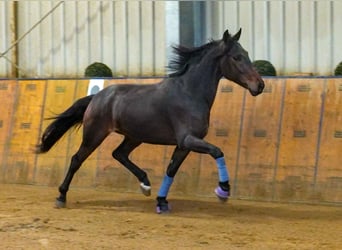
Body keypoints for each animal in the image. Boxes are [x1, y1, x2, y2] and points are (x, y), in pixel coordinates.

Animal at [36, 28, 264, 213]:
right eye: (237, 57)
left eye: (247, 55)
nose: (260, 85)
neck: (189, 93)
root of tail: (97, 97)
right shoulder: (188, 139)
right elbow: (217, 151)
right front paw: (223, 191)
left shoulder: (184, 145)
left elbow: (171, 170)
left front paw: (161, 202)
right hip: (95, 134)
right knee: (77, 159)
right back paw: (61, 197)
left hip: (134, 136)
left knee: (119, 154)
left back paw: (145, 185)